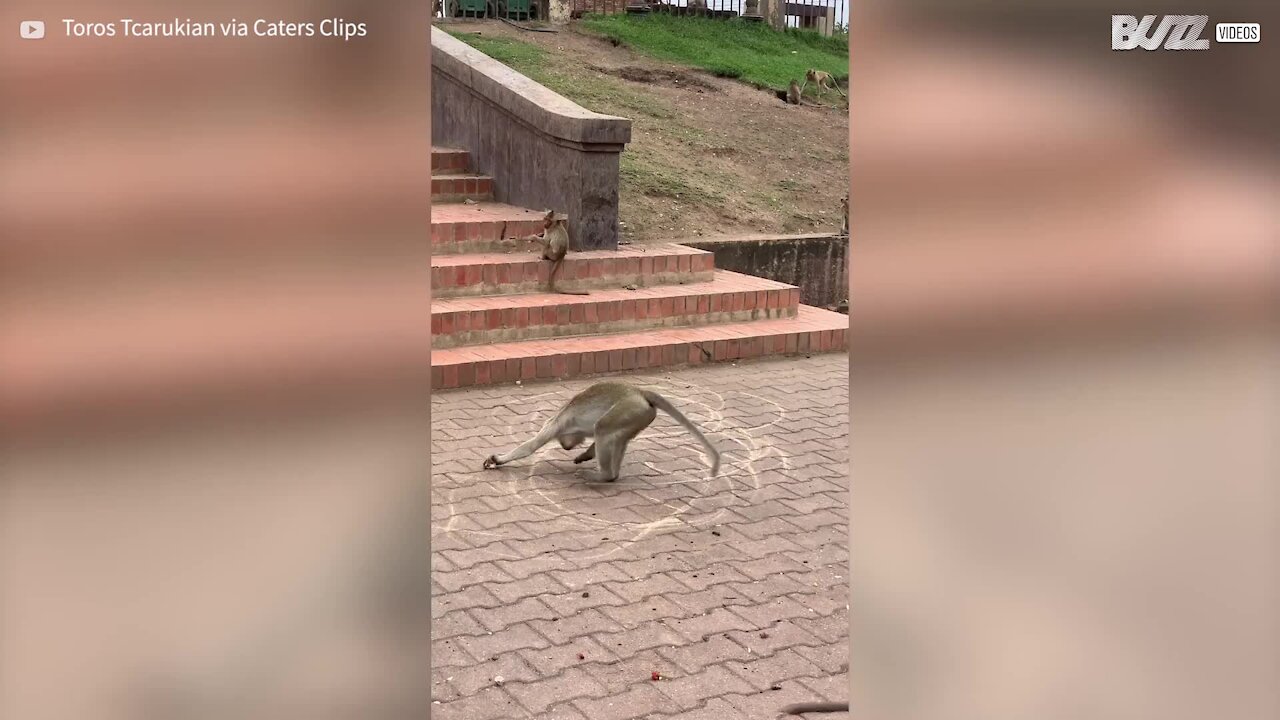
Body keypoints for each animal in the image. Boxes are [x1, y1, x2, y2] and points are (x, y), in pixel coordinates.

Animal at [481, 381, 721, 481]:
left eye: (563, 442)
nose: (565, 446)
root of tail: (640, 392)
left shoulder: (553, 426)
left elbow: (529, 447)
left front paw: (498, 459)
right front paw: (585, 454)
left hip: (629, 408)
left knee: (603, 428)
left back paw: (604, 476)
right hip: (639, 415)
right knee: (618, 436)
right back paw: (613, 476)